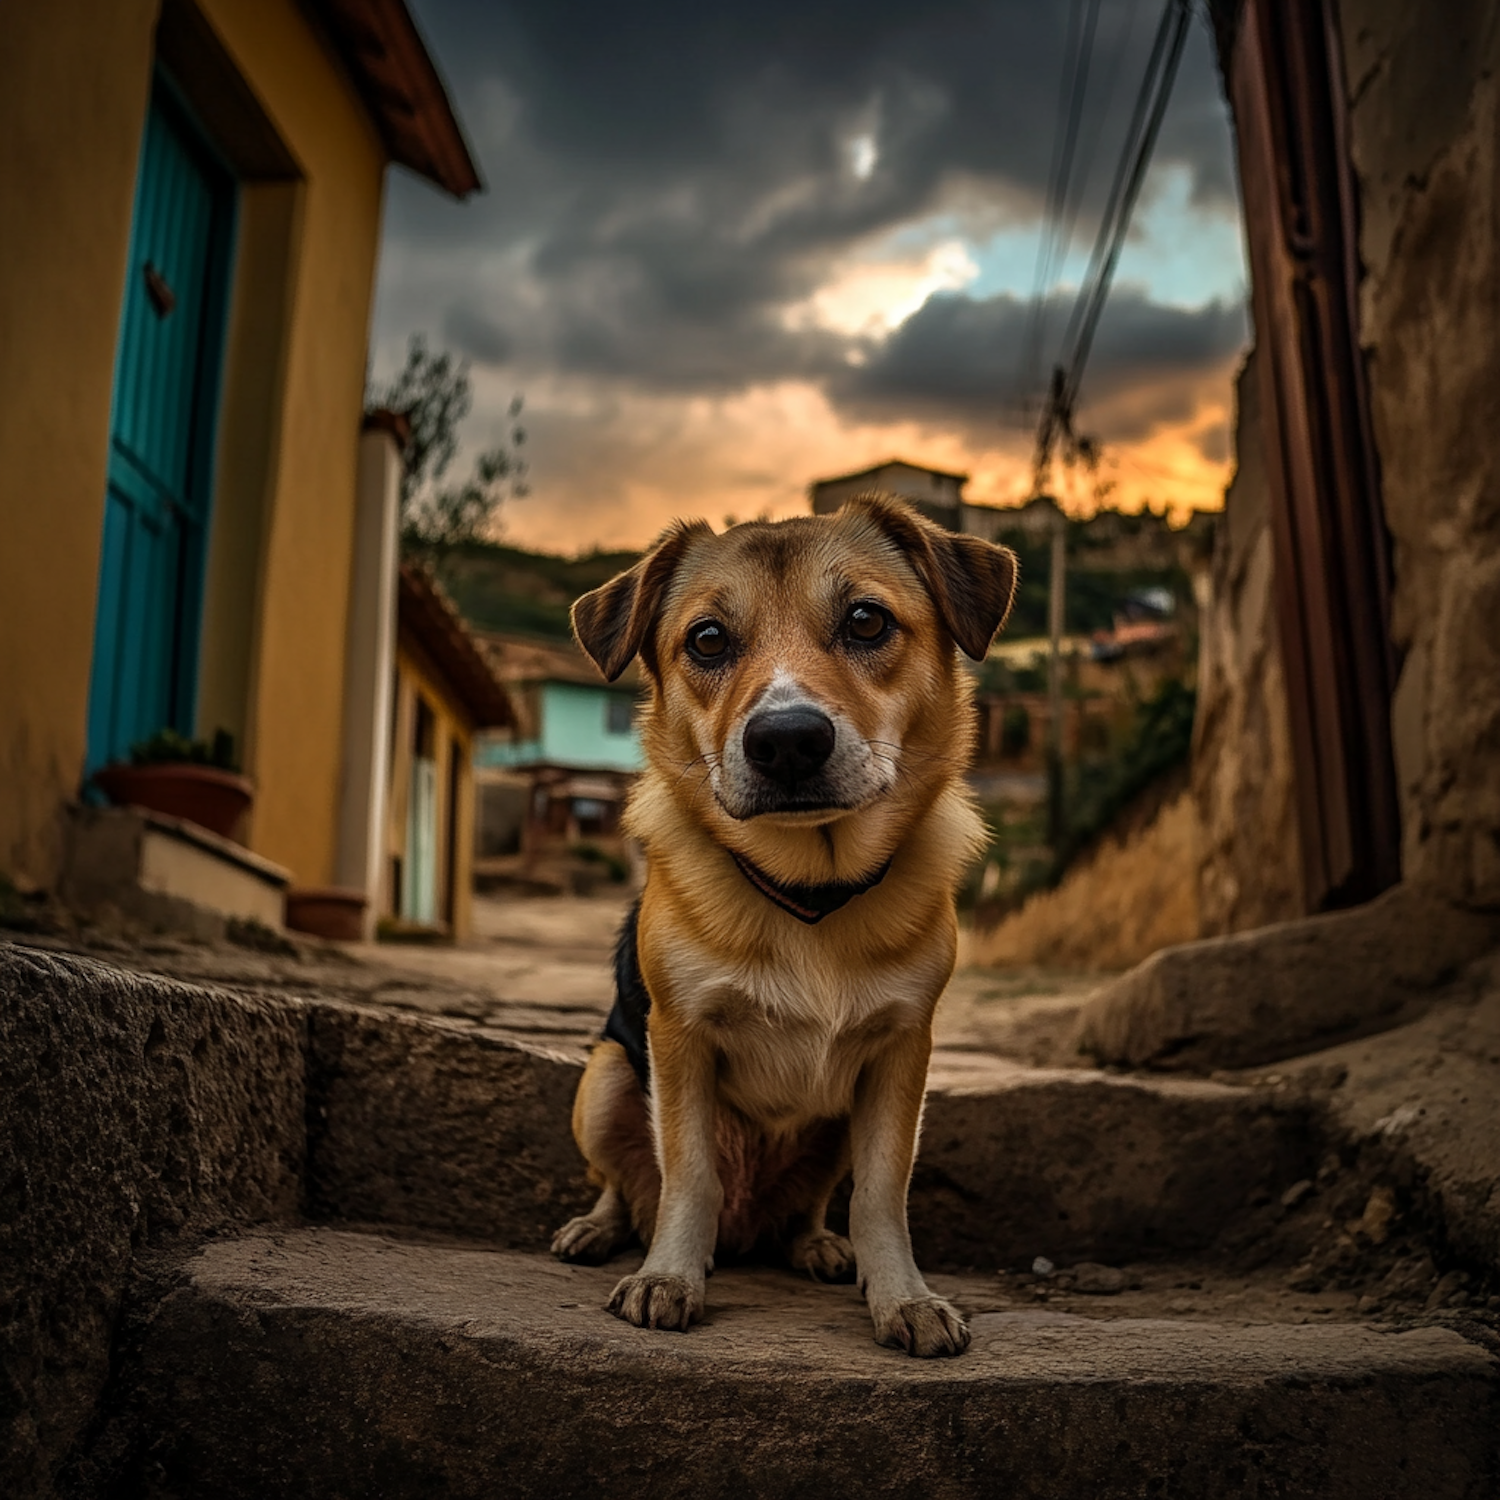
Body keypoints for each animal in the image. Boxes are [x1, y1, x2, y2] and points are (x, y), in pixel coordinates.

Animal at [552, 495, 1020, 1362]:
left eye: (867, 621)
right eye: (707, 639)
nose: (788, 740)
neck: (809, 891)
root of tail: (748, 1230)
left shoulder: (902, 1054)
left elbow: (881, 1194)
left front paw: (902, 1296)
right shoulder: (678, 1042)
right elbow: (688, 1176)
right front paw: (669, 1276)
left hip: (830, 1129)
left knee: (807, 1205)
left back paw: (815, 1245)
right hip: (605, 1079)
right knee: (626, 1187)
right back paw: (597, 1231)